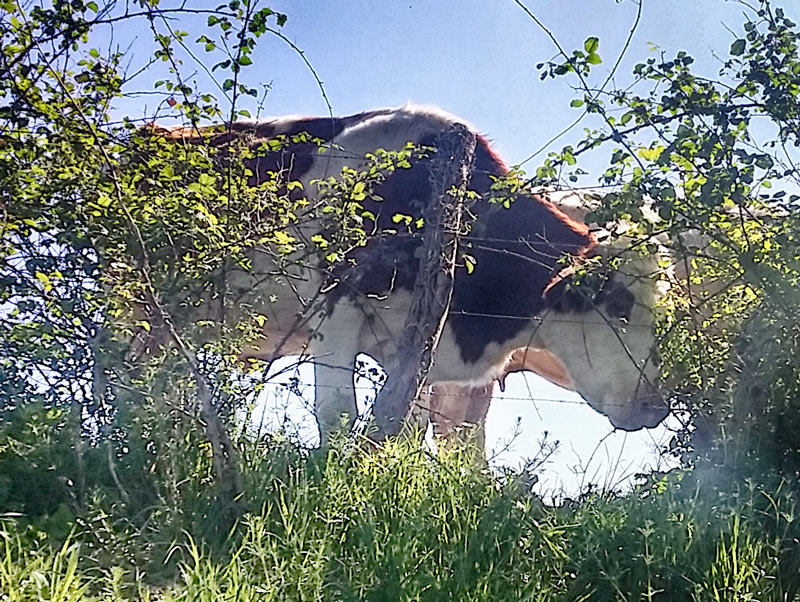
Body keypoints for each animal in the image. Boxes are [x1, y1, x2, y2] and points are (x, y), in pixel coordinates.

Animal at [143, 106, 670, 444]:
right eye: (620, 307)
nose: (657, 406)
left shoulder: (412, 341)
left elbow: (408, 429)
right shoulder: (336, 309)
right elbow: (337, 414)